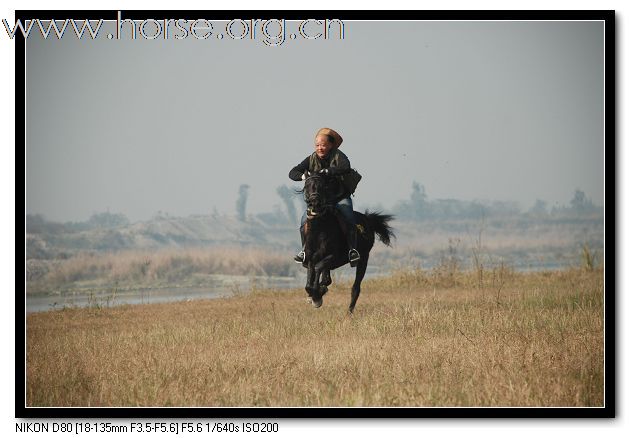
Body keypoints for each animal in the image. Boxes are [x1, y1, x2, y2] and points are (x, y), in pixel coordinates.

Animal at [302, 170, 396, 312]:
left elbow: (318, 268)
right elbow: (310, 280)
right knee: (327, 279)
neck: (319, 229)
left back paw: (349, 312)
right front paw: (315, 295)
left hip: (363, 259)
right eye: (306, 186)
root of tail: (368, 219)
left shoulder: (333, 257)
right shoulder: (310, 258)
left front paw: (317, 296)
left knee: (356, 287)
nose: (314, 203)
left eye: (323, 187)